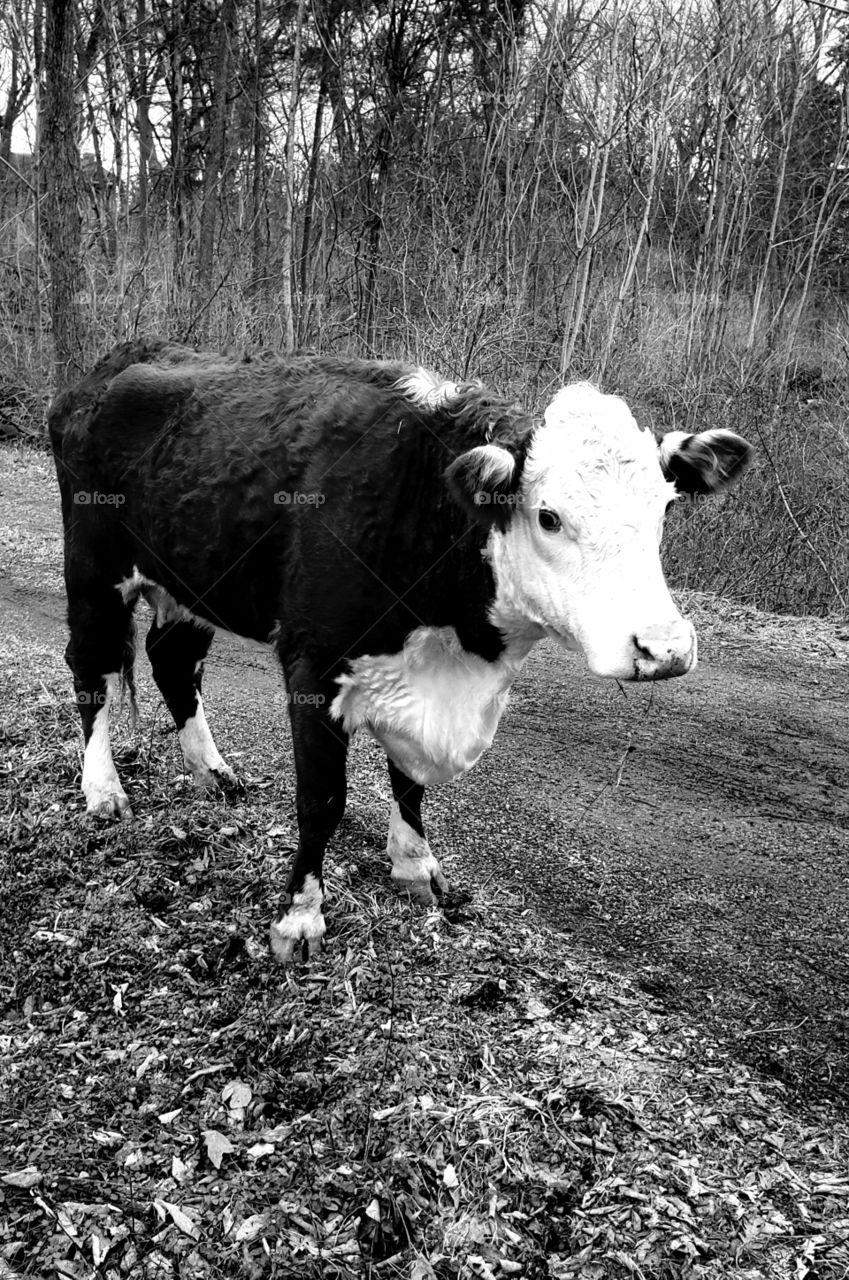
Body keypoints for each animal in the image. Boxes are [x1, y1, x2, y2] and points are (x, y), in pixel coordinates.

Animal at [49, 340, 752, 961]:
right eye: (549, 516)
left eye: (664, 510)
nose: (665, 648)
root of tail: (118, 361)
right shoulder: (313, 659)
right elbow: (323, 798)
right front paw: (299, 919)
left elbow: (409, 782)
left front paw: (415, 866)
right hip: (93, 569)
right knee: (91, 668)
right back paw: (103, 790)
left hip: (188, 580)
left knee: (172, 658)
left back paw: (212, 772)